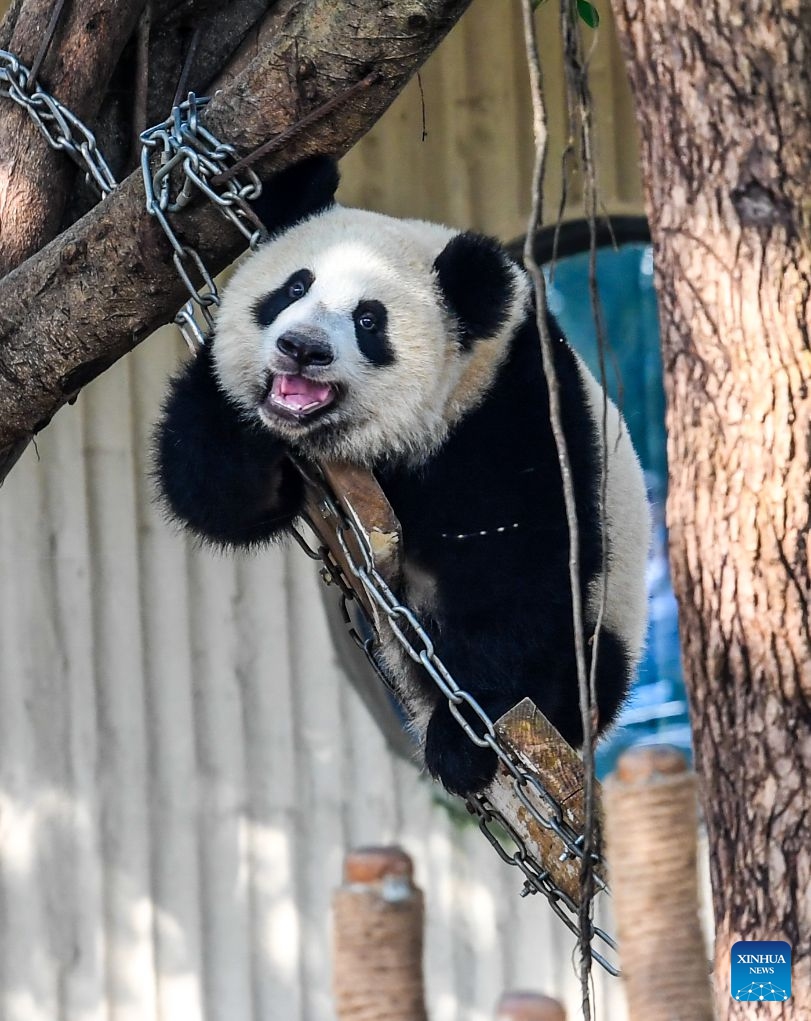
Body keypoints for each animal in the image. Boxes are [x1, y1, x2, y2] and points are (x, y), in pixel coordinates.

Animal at [155, 155, 651, 796]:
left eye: (369, 320)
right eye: (295, 287)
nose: (301, 348)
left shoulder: (515, 415)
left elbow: (519, 572)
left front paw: (463, 739)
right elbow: (220, 493)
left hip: (610, 620)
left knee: (585, 664)